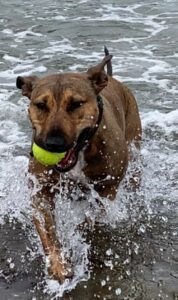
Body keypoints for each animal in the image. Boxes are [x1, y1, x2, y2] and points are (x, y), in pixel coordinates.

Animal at [16, 50, 142, 282]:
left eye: (76, 104)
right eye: (41, 105)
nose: (53, 144)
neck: (82, 150)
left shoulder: (107, 189)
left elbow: (93, 217)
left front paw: (82, 231)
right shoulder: (41, 191)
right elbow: (47, 231)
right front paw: (58, 265)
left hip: (135, 150)